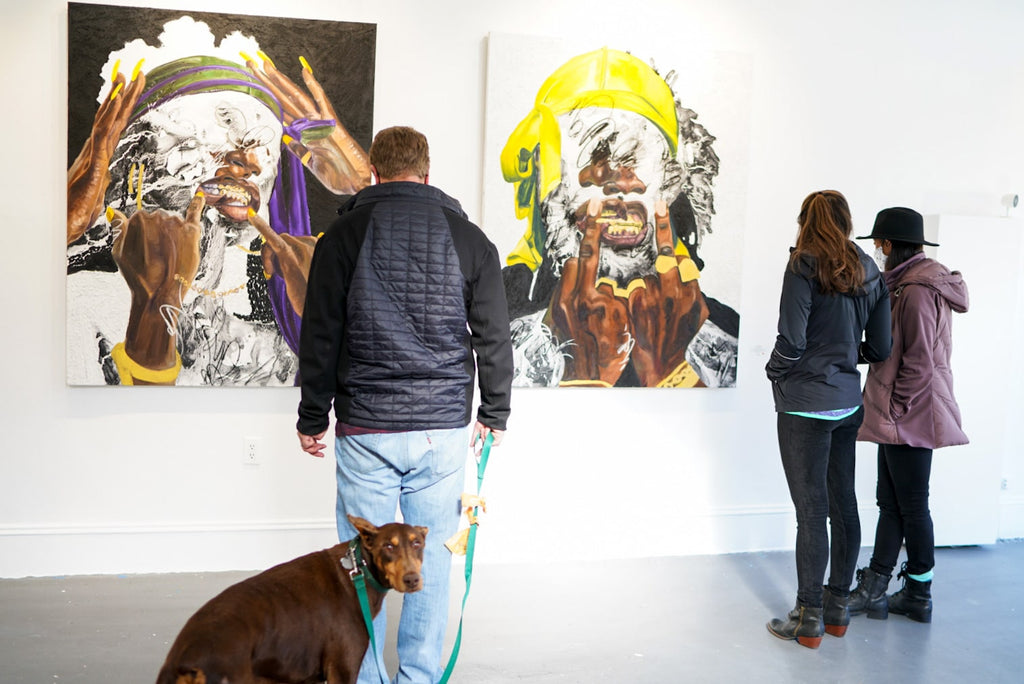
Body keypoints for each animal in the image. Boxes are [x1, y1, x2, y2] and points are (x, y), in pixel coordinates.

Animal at [153, 516, 425, 679]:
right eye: (388, 546)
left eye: (417, 544)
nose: (412, 580)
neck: (358, 571)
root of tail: (184, 658)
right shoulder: (342, 669)